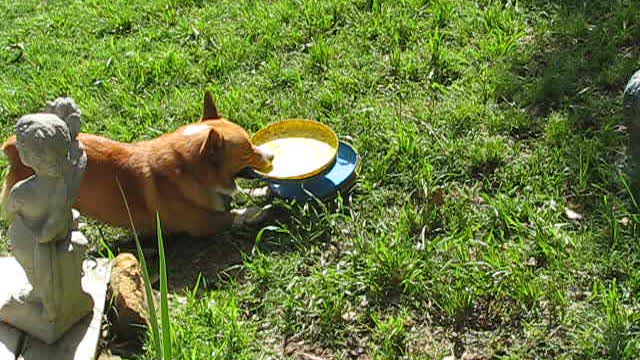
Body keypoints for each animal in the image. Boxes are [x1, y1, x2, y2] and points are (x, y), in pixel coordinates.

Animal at [1, 92, 274, 236]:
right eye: (247, 152)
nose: (271, 156)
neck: (190, 171)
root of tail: (14, 147)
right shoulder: (202, 224)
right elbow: (230, 215)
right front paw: (253, 212)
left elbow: (242, 191)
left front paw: (262, 191)